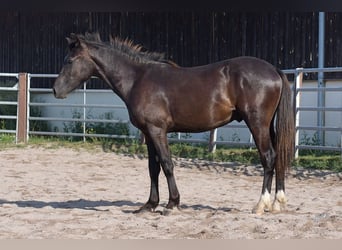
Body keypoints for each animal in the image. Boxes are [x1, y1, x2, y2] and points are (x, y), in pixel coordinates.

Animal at [52, 32, 294, 215]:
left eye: (69, 61)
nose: (55, 90)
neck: (137, 79)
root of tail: (274, 70)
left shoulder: (157, 130)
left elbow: (167, 164)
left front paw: (172, 204)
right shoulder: (149, 133)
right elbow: (153, 168)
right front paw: (149, 205)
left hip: (257, 124)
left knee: (268, 157)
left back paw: (261, 205)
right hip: (268, 126)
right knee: (278, 156)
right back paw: (277, 203)